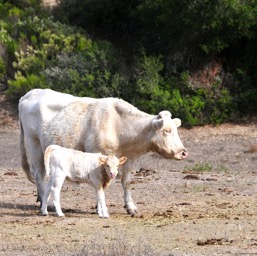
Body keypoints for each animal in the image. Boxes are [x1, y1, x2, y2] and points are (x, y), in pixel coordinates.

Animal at [18, 89, 186, 215]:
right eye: (167, 130)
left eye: (176, 130)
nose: (183, 152)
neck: (119, 126)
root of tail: (31, 92)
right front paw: (99, 208)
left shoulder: (129, 160)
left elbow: (126, 182)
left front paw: (130, 207)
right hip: (34, 145)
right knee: (40, 174)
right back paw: (46, 204)